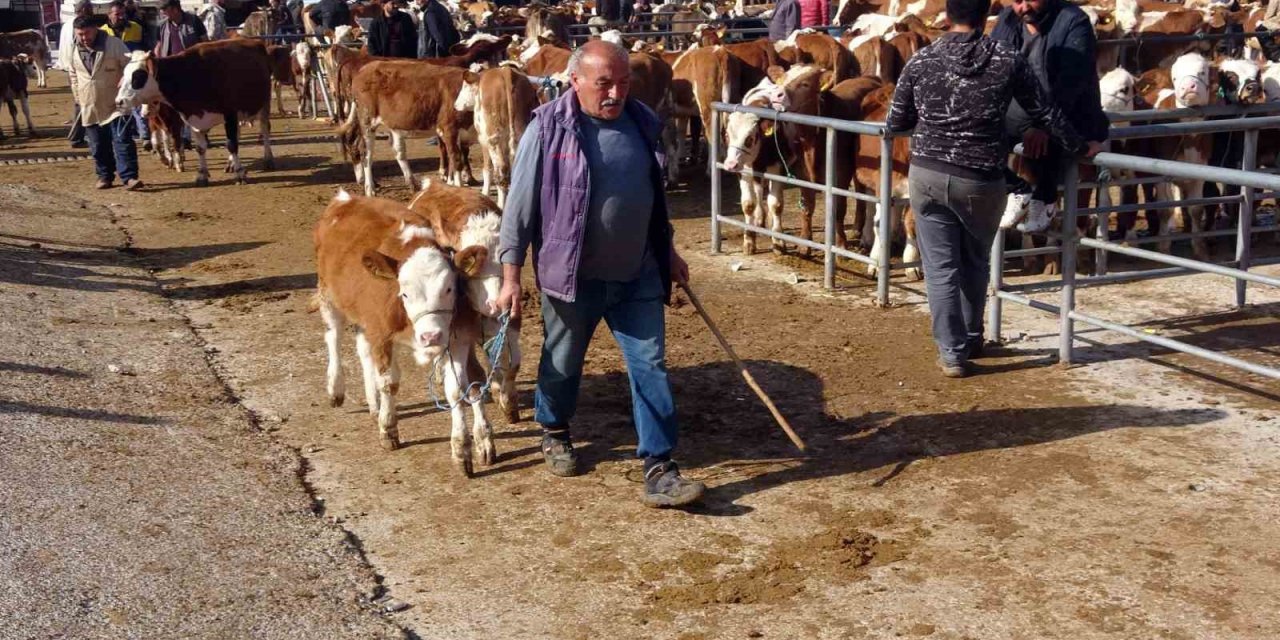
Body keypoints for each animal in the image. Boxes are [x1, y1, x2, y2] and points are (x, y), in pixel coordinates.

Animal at [115, 38, 275, 185]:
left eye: (138, 76)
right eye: (124, 74)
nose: (119, 101)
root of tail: (255, 41)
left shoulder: (229, 114)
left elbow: (231, 144)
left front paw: (240, 173)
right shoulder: (194, 118)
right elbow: (200, 148)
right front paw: (202, 174)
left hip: (264, 103)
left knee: (265, 128)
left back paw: (268, 159)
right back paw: (230, 164)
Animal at [311, 186, 494, 473]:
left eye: (449, 288)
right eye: (404, 293)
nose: (430, 336)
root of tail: (345, 199)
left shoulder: (456, 339)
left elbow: (457, 390)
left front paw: (462, 449)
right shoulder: (382, 333)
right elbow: (389, 383)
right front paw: (388, 429)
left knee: (362, 349)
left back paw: (373, 403)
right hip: (328, 296)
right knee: (333, 337)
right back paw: (336, 388)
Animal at [453, 64, 537, 206]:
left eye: (465, 86)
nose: (455, 105)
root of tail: (506, 72)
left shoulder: (483, 140)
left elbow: (487, 168)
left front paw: (484, 193)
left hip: (493, 139)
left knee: (501, 172)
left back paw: (501, 205)